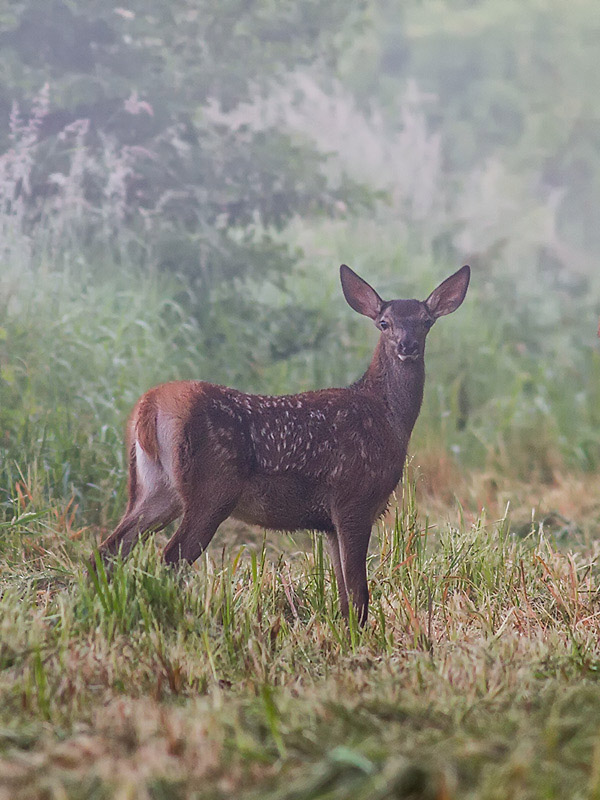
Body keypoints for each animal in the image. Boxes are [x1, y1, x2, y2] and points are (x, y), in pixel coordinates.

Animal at [95, 264, 468, 624]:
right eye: (384, 322)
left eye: (426, 321)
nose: (407, 345)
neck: (387, 416)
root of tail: (149, 406)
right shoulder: (354, 499)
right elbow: (359, 594)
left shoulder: (329, 522)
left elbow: (344, 597)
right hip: (210, 489)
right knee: (170, 557)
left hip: (154, 487)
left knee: (109, 550)